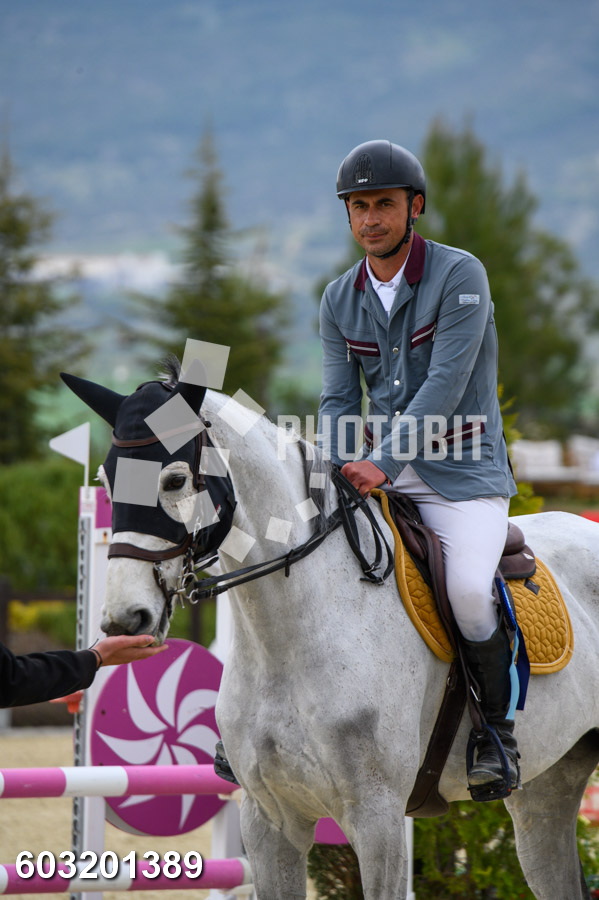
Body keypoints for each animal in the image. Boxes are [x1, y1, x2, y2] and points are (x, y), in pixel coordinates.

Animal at [62, 361, 599, 900]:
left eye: (173, 480)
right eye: (106, 480)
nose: (124, 618)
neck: (288, 640)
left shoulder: (378, 817)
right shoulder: (268, 820)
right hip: (545, 790)